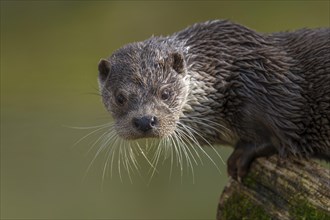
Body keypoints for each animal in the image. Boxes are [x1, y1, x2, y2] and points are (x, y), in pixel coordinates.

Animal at [96, 19, 328, 180]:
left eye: (165, 93)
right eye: (120, 97)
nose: (145, 120)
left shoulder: (269, 86)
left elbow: (279, 134)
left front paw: (240, 158)